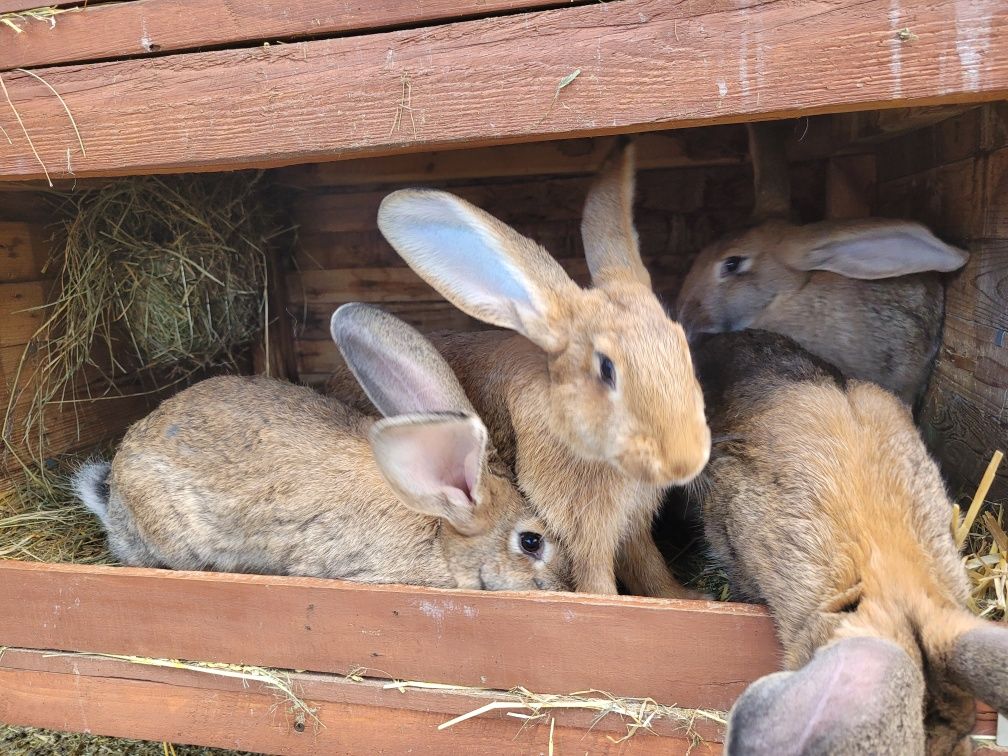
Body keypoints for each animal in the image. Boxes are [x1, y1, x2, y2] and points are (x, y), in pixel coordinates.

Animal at [326, 139, 713, 596]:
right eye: (606, 368)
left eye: (683, 344)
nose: (684, 462)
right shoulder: (583, 530)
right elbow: (597, 581)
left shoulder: (633, 527)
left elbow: (650, 567)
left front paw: (687, 596)